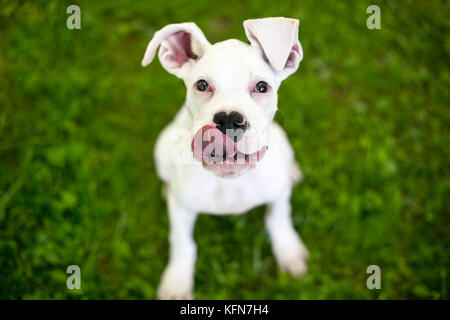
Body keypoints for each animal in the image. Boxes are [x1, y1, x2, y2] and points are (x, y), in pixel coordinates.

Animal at [143, 16, 310, 298]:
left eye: (262, 87)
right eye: (201, 85)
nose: (229, 119)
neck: (230, 180)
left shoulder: (278, 195)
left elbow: (279, 218)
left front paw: (288, 252)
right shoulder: (181, 211)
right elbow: (182, 243)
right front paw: (177, 282)